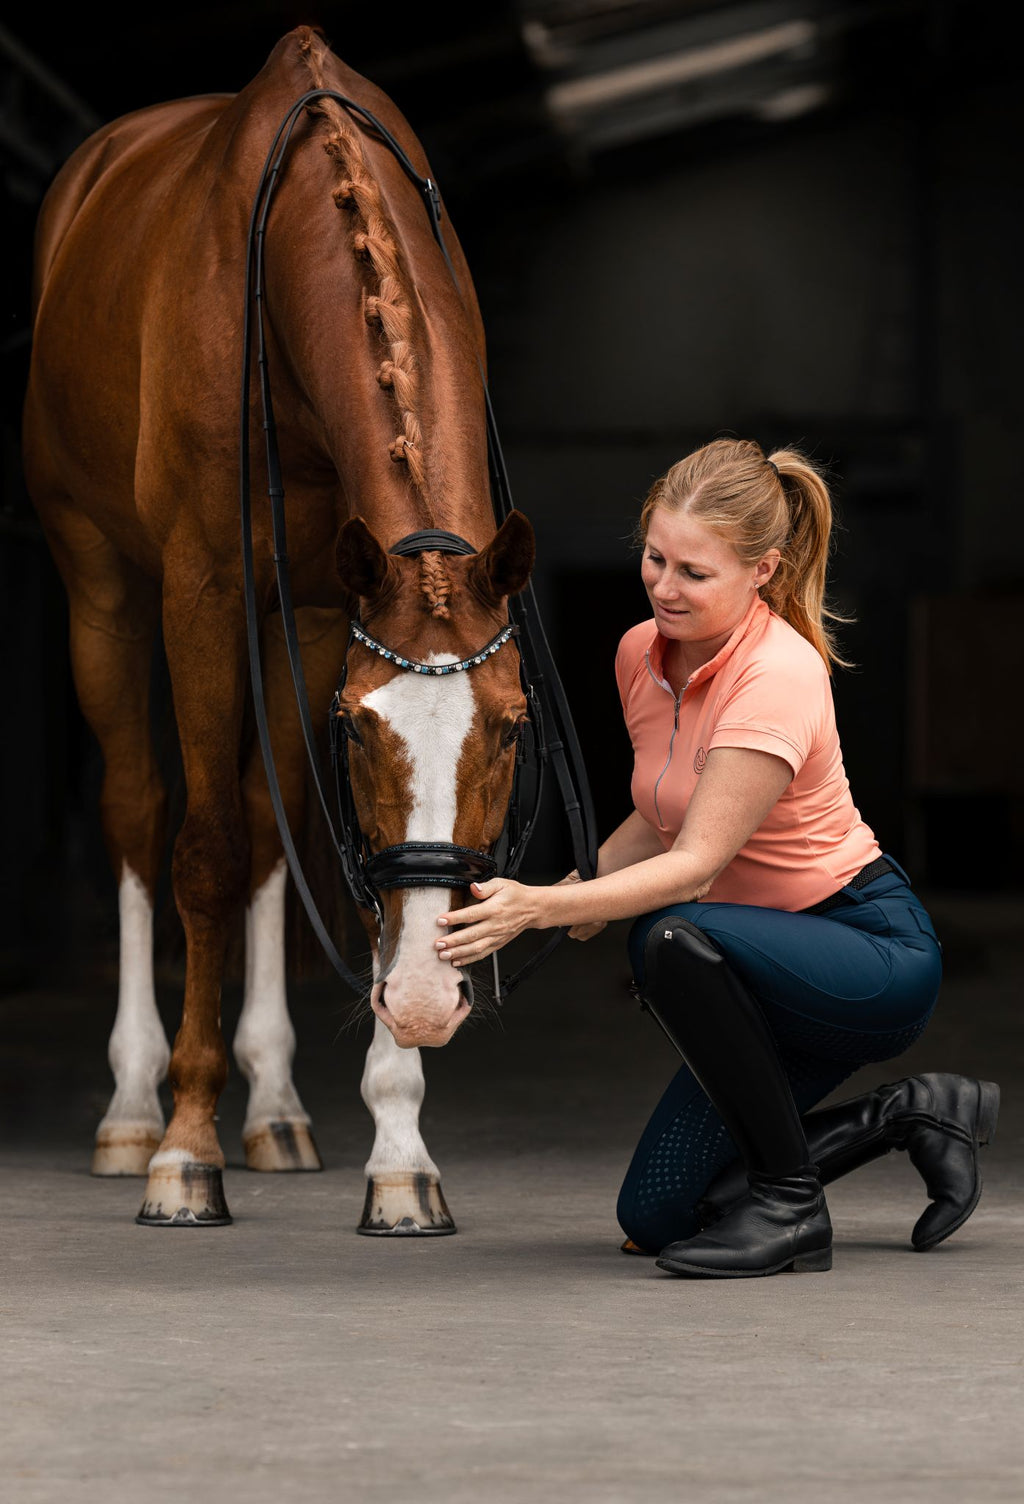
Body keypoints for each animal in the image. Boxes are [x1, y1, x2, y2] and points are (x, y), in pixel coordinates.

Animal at [22, 26, 535, 1231]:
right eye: (357, 728)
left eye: (510, 725)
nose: (429, 998)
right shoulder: (204, 588)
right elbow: (204, 851)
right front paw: (184, 1150)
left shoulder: (321, 608)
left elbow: (315, 854)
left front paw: (399, 1148)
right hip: (101, 586)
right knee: (140, 810)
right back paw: (132, 1108)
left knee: (265, 825)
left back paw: (275, 1107)